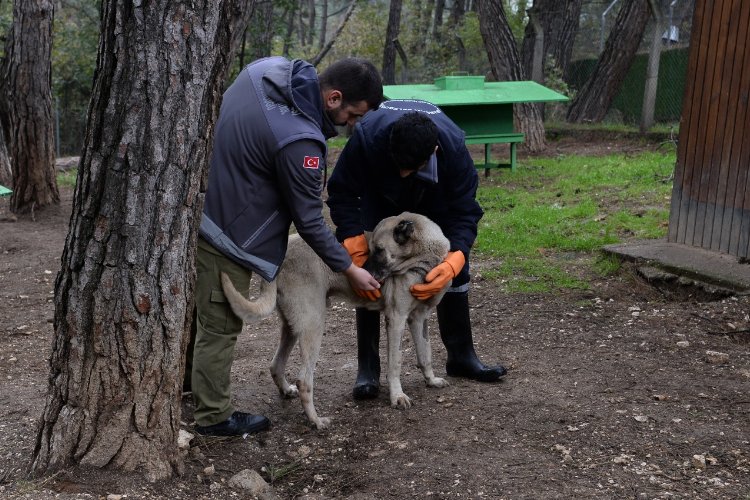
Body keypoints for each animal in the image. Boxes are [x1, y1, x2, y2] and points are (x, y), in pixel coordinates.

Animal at [220, 211, 450, 430]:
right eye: (371, 249)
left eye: (378, 250)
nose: (364, 273)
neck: (423, 260)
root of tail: (279, 259)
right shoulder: (396, 319)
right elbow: (395, 362)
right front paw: (397, 396)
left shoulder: (419, 318)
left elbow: (425, 354)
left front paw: (431, 380)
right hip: (313, 324)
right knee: (304, 380)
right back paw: (316, 421)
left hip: (292, 327)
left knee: (276, 364)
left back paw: (286, 391)